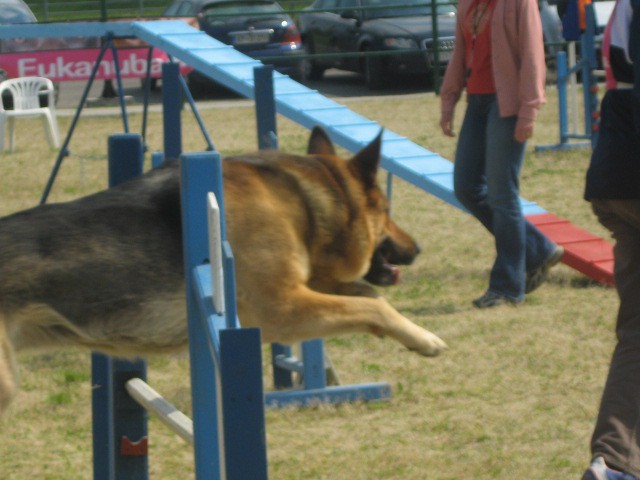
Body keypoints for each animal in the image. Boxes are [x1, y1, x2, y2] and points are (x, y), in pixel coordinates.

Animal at [0, 126, 444, 412]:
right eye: (386, 209)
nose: (419, 248)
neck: (302, 201)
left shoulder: (306, 289)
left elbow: (368, 296)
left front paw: (410, 334)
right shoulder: (281, 310)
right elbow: (375, 305)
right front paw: (426, 339)